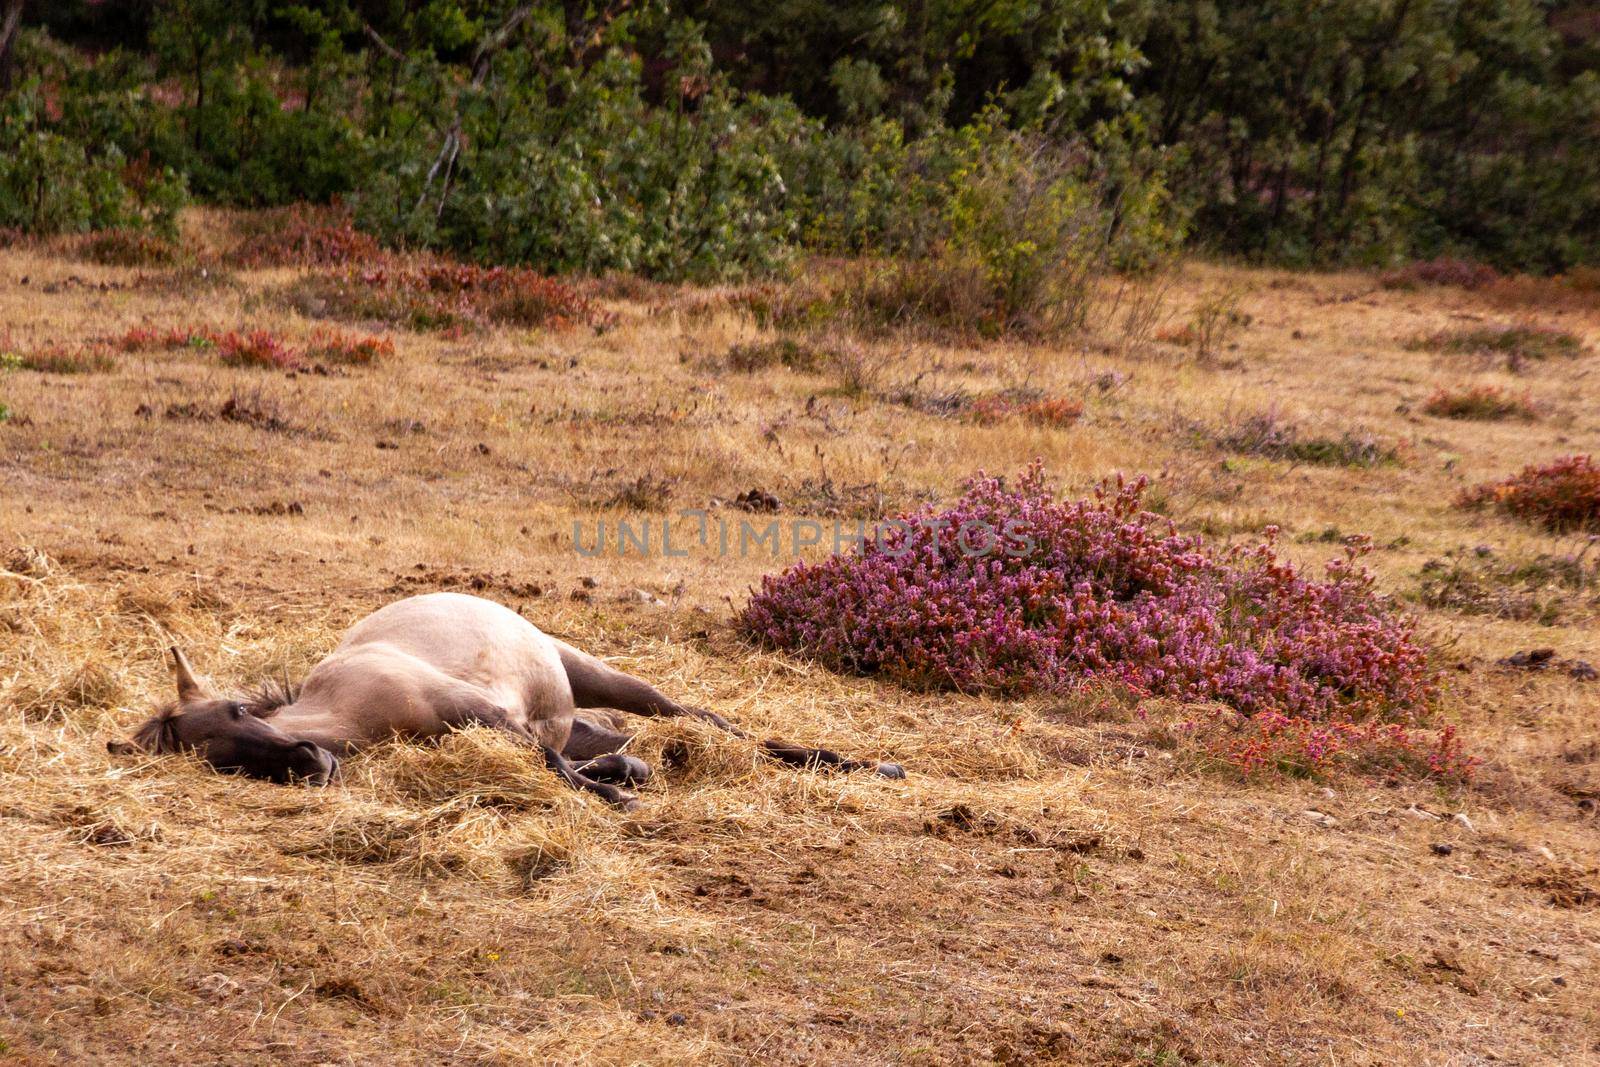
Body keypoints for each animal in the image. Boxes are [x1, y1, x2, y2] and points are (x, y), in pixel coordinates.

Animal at [106, 588, 902, 806]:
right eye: (217, 759)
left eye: (240, 710)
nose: (309, 759)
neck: (356, 702)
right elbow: (573, 767)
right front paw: (621, 785)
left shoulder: (491, 715)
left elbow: (557, 771)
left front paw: (618, 799)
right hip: (585, 717)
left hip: (603, 677)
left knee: (716, 724)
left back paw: (871, 765)